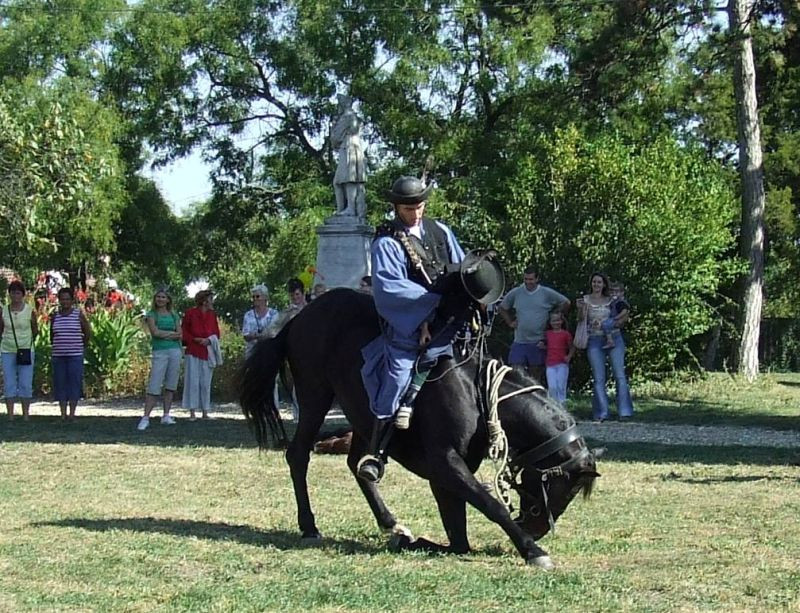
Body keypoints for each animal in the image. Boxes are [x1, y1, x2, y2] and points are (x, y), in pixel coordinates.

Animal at [241, 290, 596, 568]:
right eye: (564, 486)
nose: (537, 528)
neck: (475, 392)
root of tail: (303, 313)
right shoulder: (445, 462)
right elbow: (490, 505)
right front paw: (532, 550)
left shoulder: (451, 470)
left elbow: (459, 535)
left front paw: (417, 541)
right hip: (315, 395)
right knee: (299, 455)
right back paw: (309, 525)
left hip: (360, 417)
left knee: (358, 465)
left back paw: (391, 523)